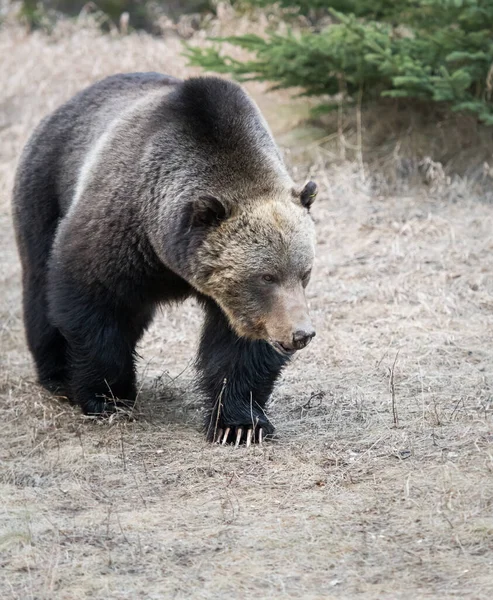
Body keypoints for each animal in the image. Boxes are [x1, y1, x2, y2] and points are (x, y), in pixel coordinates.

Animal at [14, 71, 320, 446]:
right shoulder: (119, 231)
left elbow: (240, 348)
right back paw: (56, 375)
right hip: (44, 191)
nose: (301, 334)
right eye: (266, 276)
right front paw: (108, 397)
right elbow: (91, 303)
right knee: (39, 287)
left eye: (304, 272)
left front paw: (239, 425)